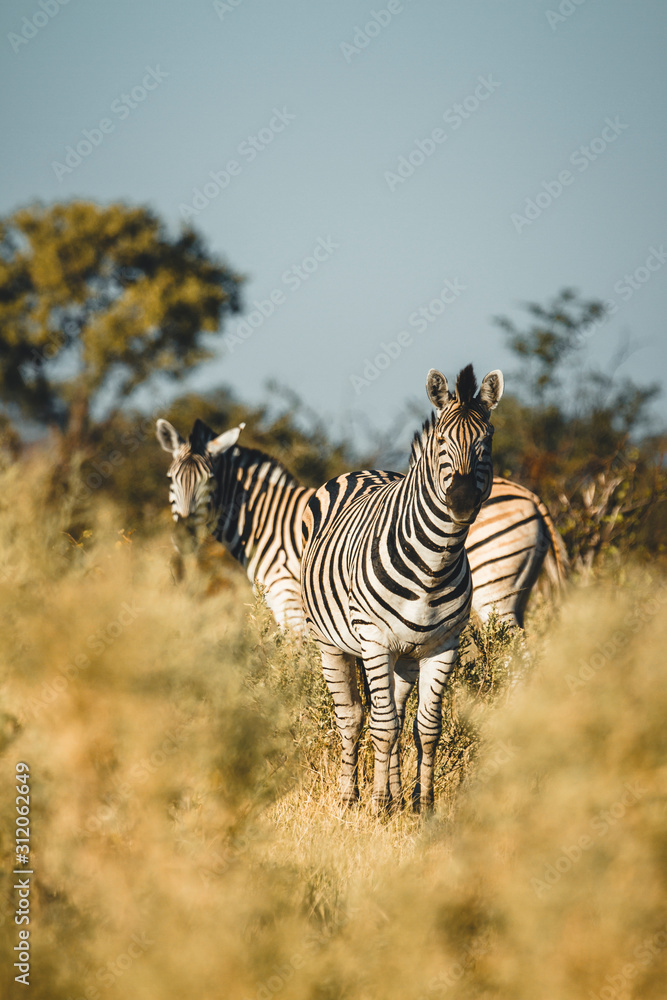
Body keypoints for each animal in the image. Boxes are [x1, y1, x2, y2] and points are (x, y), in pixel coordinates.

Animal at [300, 364, 504, 812]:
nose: (462, 502)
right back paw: (351, 796)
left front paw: (421, 805)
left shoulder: (443, 646)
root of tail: (362, 470)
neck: (433, 567)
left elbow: (425, 728)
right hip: (333, 643)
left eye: (486, 440)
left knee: (391, 709)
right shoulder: (374, 640)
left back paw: (393, 794)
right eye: (442, 440)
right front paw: (377, 805)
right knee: (354, 716)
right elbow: (382, 727)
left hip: (405, 657)